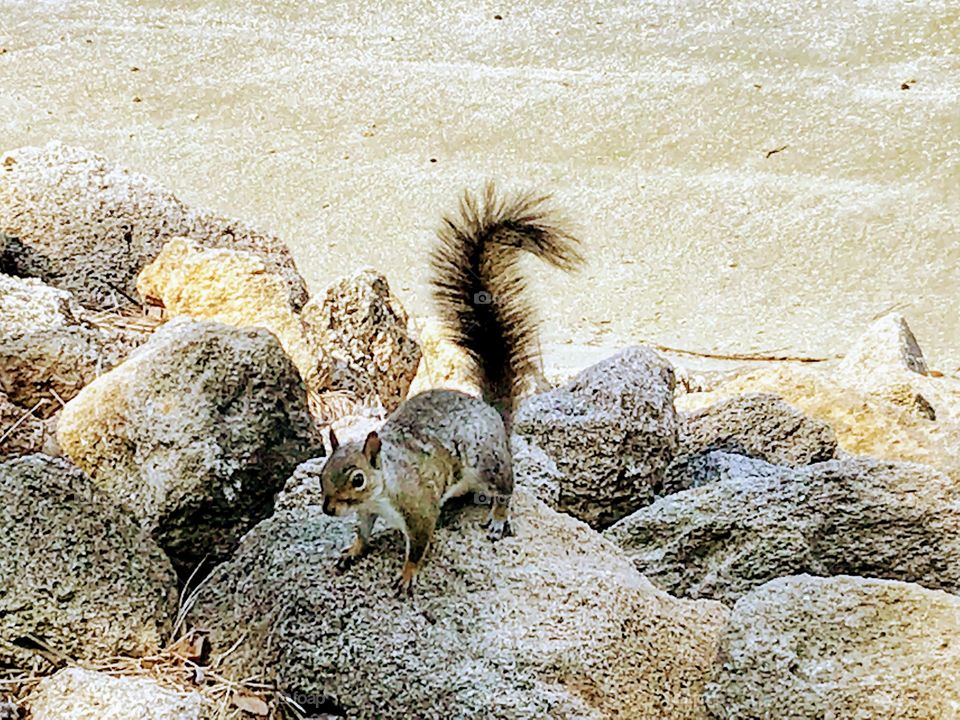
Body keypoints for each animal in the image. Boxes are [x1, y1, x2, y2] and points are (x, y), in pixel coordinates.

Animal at [319, 182, 582, 596]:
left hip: (490, 464)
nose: (328, 509)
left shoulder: (419, 508)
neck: (383, 488)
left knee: (506, 487)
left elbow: (419, 543)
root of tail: (492, 413)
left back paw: (498, 516)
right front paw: (353, 550)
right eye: (322, 472)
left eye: (357, 478)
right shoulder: (366, 512)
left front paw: (407, 575)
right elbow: (362, 532)